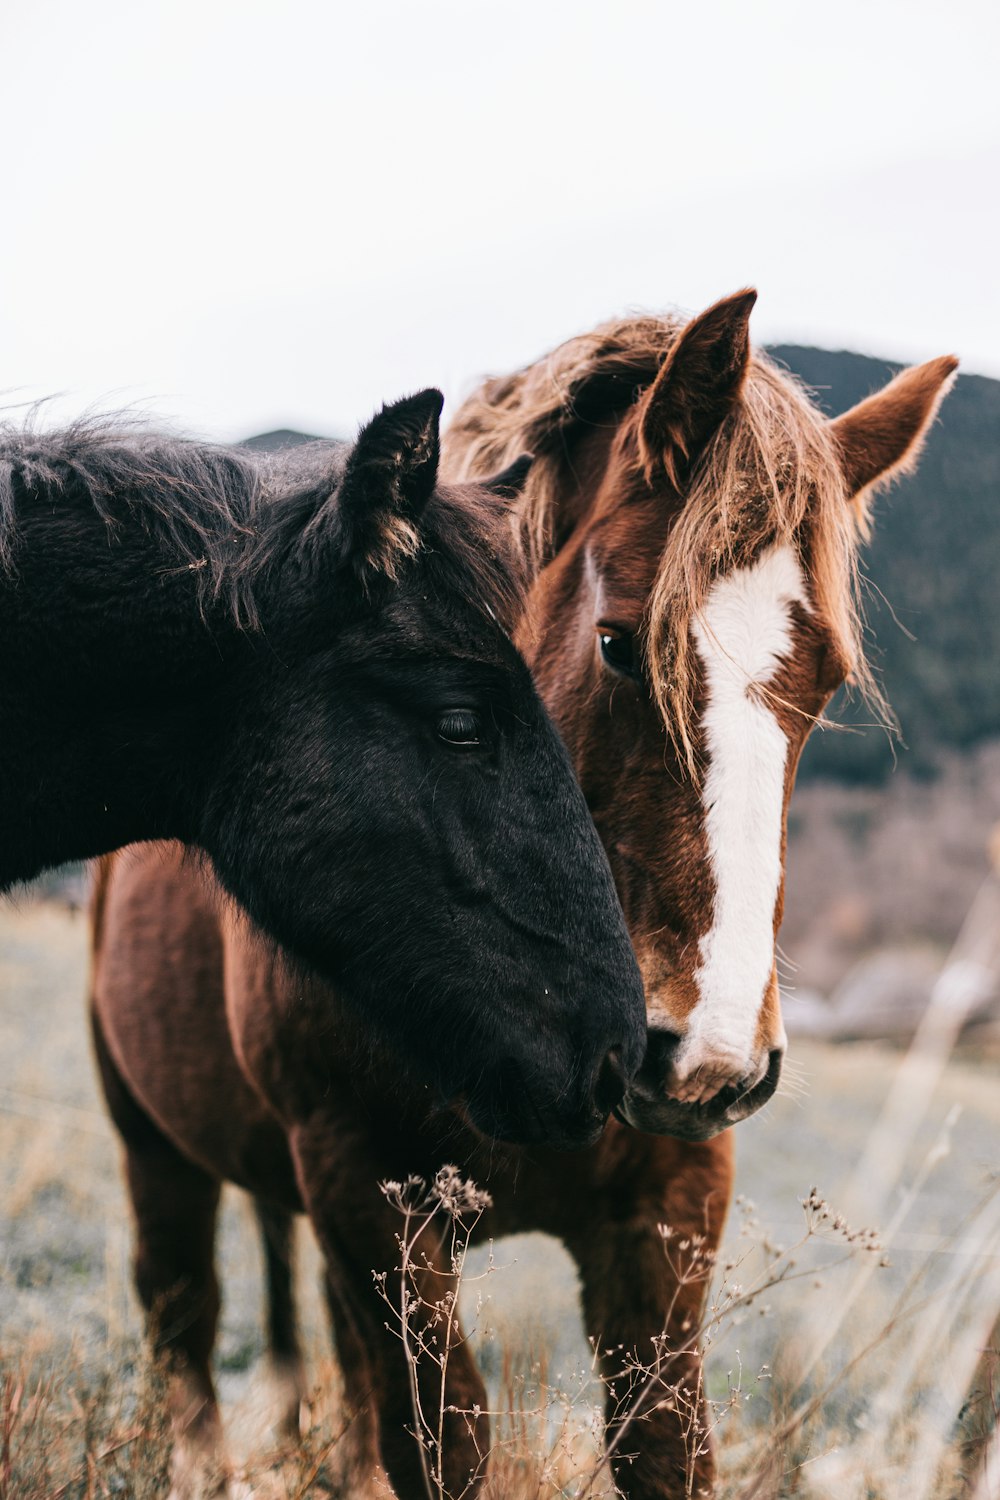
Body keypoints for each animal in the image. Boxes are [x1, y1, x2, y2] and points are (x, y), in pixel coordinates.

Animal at [89, 295, 959, 1500]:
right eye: (619, 645)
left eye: (822, 682)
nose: (711, 1059)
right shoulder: (368, 1197)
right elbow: (441, 1449)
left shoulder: (665, 1213)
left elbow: (661, 1448)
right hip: (158, 1153)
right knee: (184, 1323)